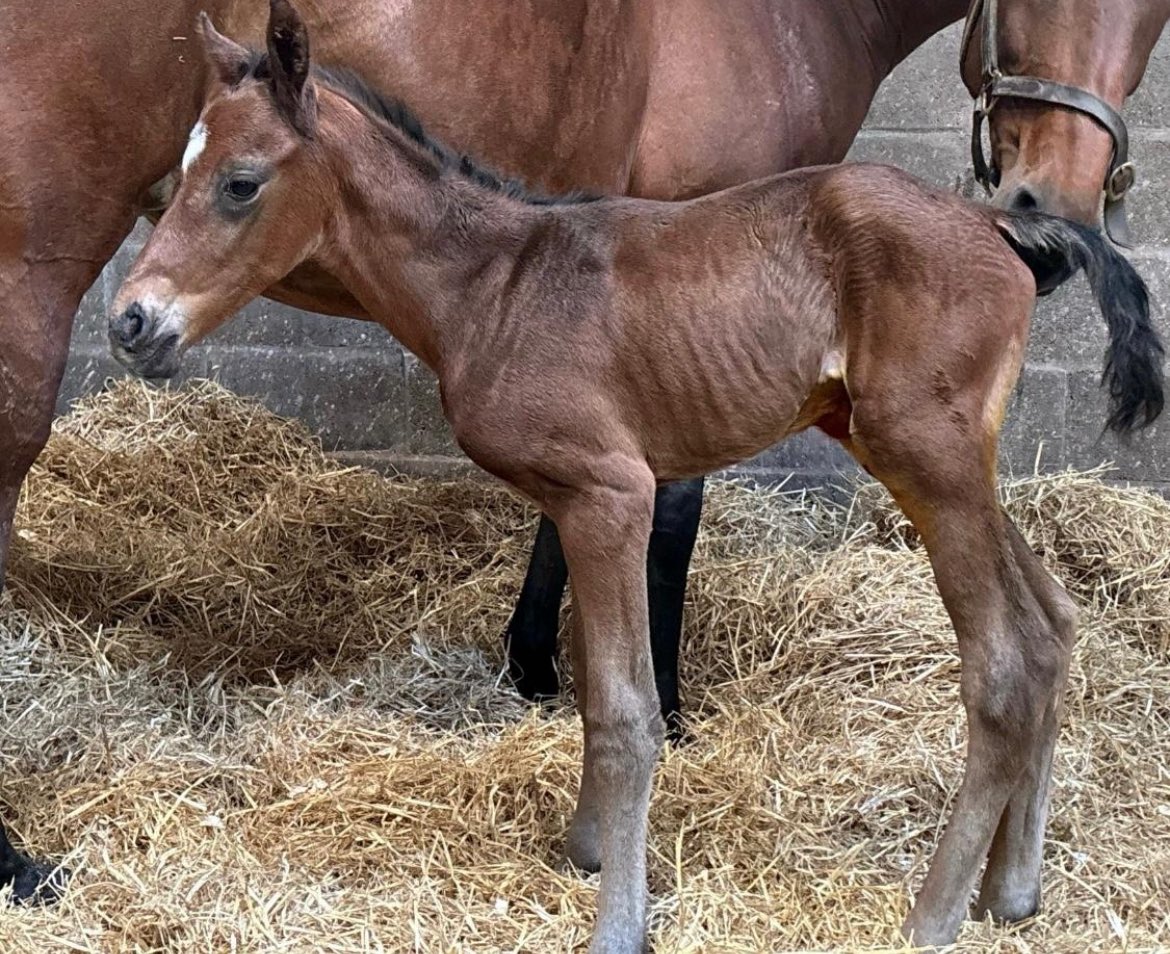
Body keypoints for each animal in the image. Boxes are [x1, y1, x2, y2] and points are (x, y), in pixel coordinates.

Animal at [108, 5, 1165, 949]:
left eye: (240, 182)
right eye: (177, 174)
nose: (131, 320)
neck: (494, 283)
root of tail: (1009, 233)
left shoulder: (611, 493)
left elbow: (625, 713)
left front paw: (619, 921)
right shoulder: (582, 504)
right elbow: (589, 684)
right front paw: (587, 848)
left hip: (928, 456)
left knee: (1007, 663)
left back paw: (933, 918)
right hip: (935, 457)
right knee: (1054, 622)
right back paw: (1012, 890)